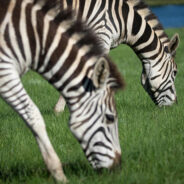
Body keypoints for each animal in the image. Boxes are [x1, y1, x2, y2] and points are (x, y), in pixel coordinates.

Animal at [0, 0, 124, 181]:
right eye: (110, 118)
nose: (118, 168)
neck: (33, 35)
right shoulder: (5, 73)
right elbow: (34, 116)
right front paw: (58, 174)